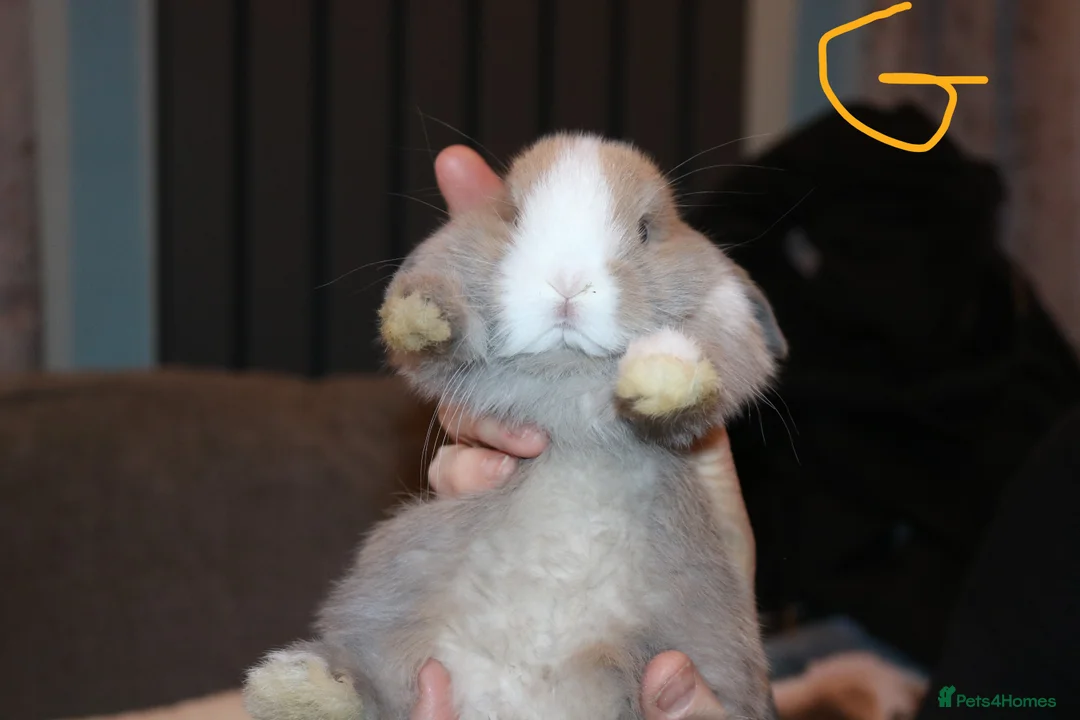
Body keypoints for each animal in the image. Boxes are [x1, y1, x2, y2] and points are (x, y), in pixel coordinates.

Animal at [242, 132, 788, 720]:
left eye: (646, 230)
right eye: (510, 214)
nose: (567, 282)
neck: (566, 378)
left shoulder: (728, 320)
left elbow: (717, 357)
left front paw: (661, 372)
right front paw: (421, 312)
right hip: (386, 586)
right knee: (368, 680)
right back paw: (300, 690)